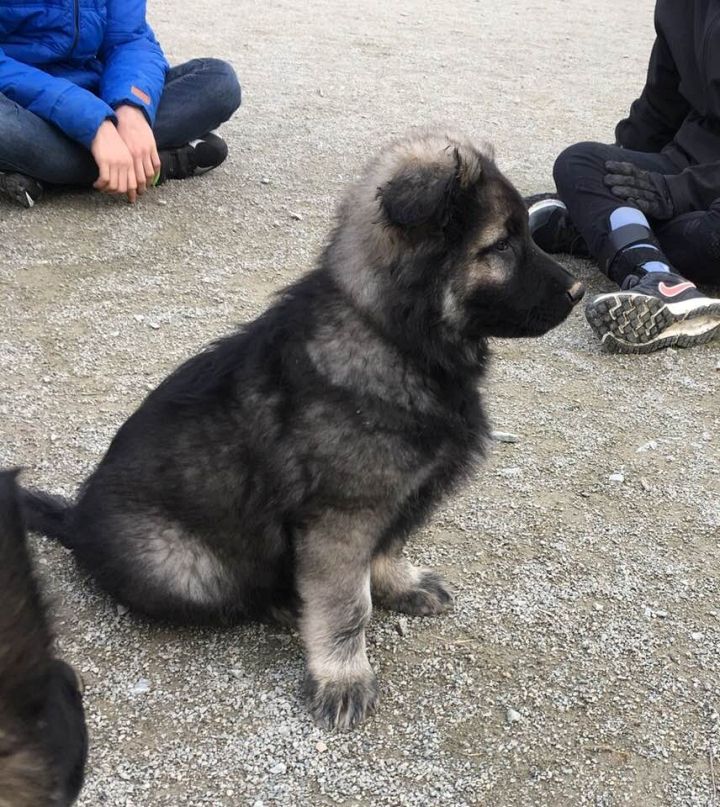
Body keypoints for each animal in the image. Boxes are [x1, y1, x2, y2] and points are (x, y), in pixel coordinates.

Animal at [18, 130, 584, 730]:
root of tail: (75, 521)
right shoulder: (342, 518)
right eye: (500, 245)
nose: (577, 292)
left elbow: (387, 548)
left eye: (525, 233)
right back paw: (283, 601)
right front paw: (343, 676)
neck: (388, 334)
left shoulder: (389, 504)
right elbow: (348, 605)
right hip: (187, 566)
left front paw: (400, 584)